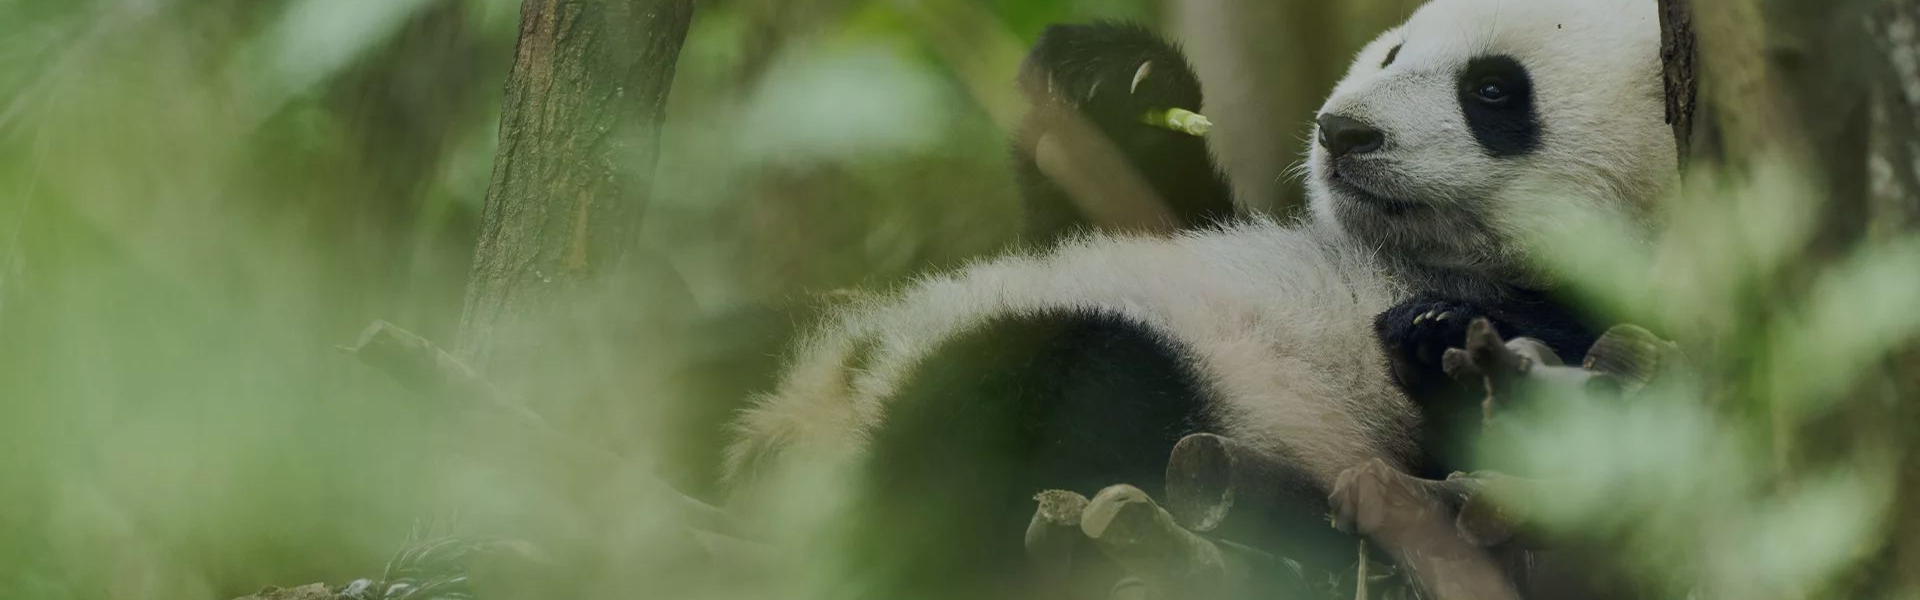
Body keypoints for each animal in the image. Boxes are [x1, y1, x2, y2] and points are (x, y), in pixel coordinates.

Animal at [725, 0, 1677, 596]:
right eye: (1397, 51)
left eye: (1491, 89)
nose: (1344, 132)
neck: (1412, 258)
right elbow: (1139, 206)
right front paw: (1114, 80)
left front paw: (1435, 336)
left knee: (1065, 387)